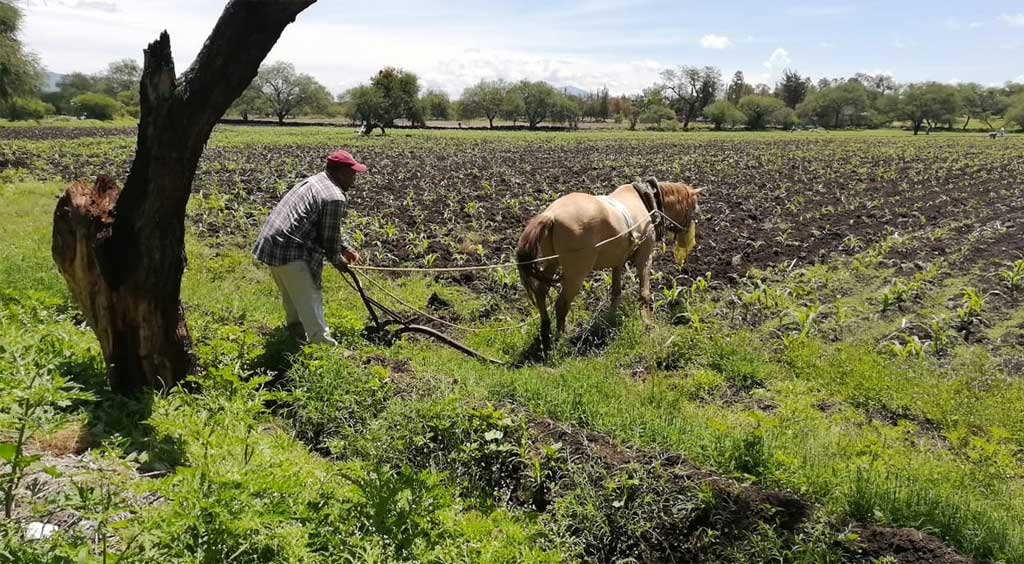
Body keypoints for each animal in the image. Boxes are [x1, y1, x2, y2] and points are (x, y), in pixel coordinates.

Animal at [516, 179, 700, 356]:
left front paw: (611, 319)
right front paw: (649, 323)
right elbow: (644, 293)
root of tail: (551, 215)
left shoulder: (617, 262)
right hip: (576, 273)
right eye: (693, 209)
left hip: (552, 263)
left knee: (541, 291)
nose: (689, 239)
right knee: (561, 304)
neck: (647, 203)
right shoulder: (645, 258)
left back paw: (545, 330)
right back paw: (560, 339)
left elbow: (615, 292)